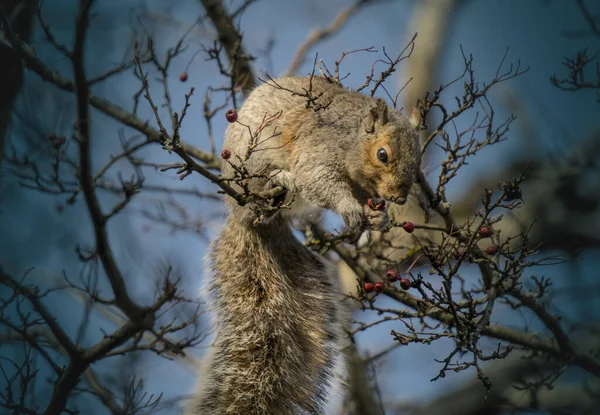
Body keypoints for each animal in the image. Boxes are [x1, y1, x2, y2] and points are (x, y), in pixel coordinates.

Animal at [185, 76, 420, 414]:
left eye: (418, 162)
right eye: (383, 155)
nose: (399, 198)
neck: (352, 140)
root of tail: (245, 219)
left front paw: (379, 216)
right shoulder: (318, 149)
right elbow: (318, 179)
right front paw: (350, 208)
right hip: (251, 167)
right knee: (264, 191)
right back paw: (278, 180)